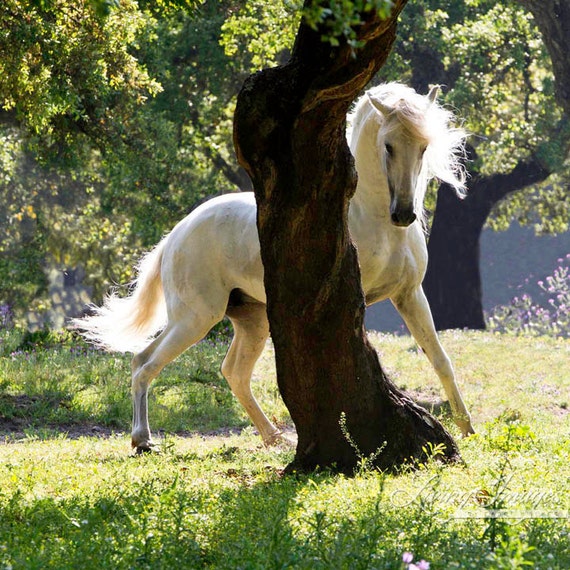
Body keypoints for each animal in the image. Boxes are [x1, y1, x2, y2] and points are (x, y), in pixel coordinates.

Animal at [76, 82, 474, 450]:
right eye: (388, 145)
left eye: (424, 147)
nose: (404, 214)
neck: (369, 217)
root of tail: (177, 233)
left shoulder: (409, 295)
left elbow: (441, 359)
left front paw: (468, 428)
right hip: (195, 318)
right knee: (145, 363)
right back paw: (142, 439)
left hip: (252, 320)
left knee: (230, 372)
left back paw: (274, 438)